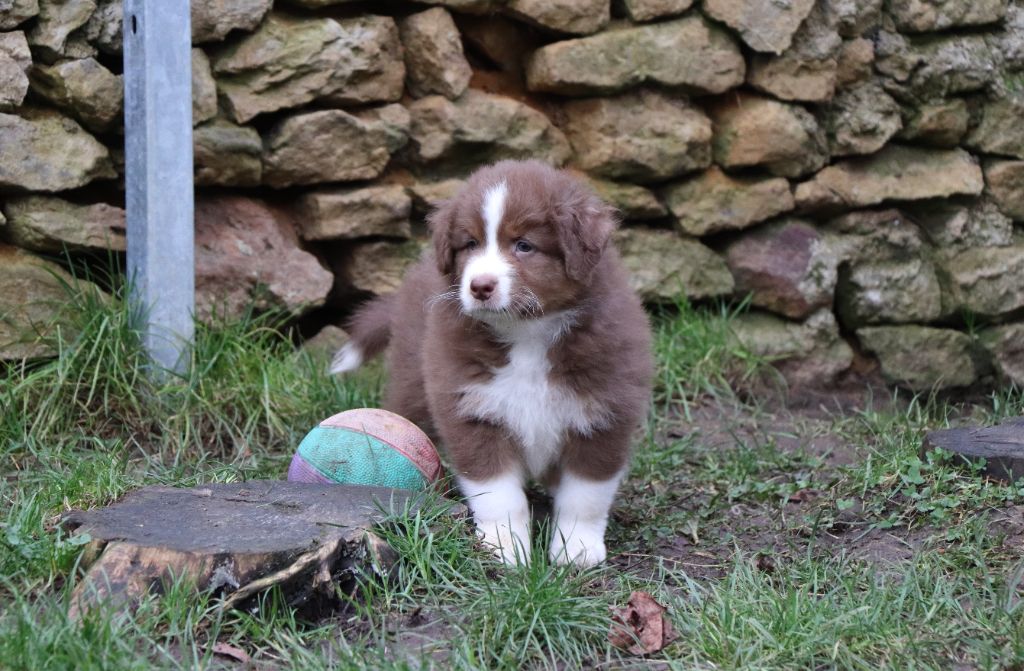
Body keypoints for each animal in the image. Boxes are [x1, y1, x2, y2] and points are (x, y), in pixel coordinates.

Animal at [331, 162, 651, 565]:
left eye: (524, 245)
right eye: (470, 244)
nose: (480, 286)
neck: (528, 334)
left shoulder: (603, 414)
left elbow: (585, 496)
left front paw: (577, 549)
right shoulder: (471, 407)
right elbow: (499, 494)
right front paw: (506, 547)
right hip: (413, 382)